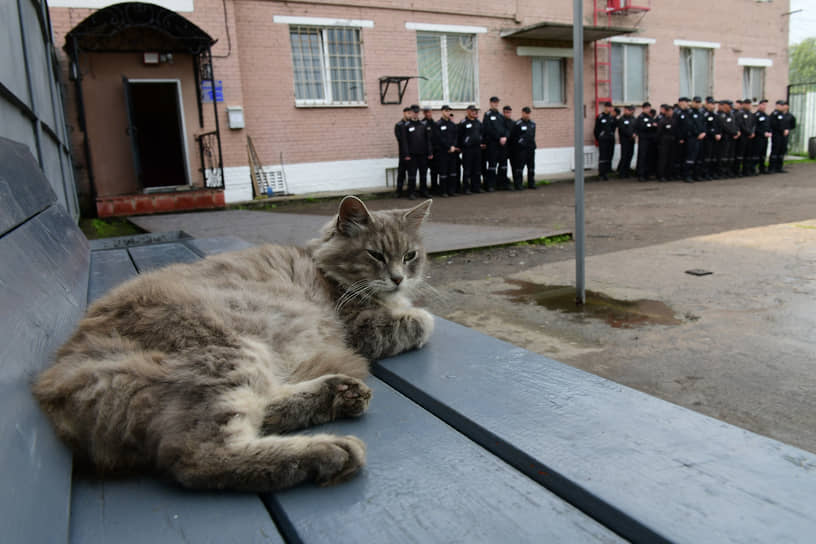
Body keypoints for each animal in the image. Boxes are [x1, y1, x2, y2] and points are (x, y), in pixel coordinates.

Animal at [33, 197, 434, 492]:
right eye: (375, 255)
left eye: (410, 256)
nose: (398, 278)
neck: (322, 266)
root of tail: (58, 380)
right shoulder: (361, 326)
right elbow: (421, 322)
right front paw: (417, 314)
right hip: (228, 355)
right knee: (202, 457)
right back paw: (330, 449)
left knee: (265, 407)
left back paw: (339, 393)